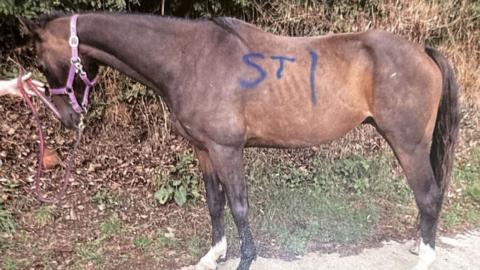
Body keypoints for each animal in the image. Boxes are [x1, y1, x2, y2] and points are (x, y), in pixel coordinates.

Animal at [20, 12, 460, 270]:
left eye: (40, 60)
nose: (67, 118)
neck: (189, 58)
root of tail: (423, 51)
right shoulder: (203, 150)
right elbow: (215, 204)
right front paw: (213, 255)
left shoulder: (226, 149)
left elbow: (239, 207)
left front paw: (245, 260)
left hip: (408, 145)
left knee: (428, 196)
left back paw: (425, 257)